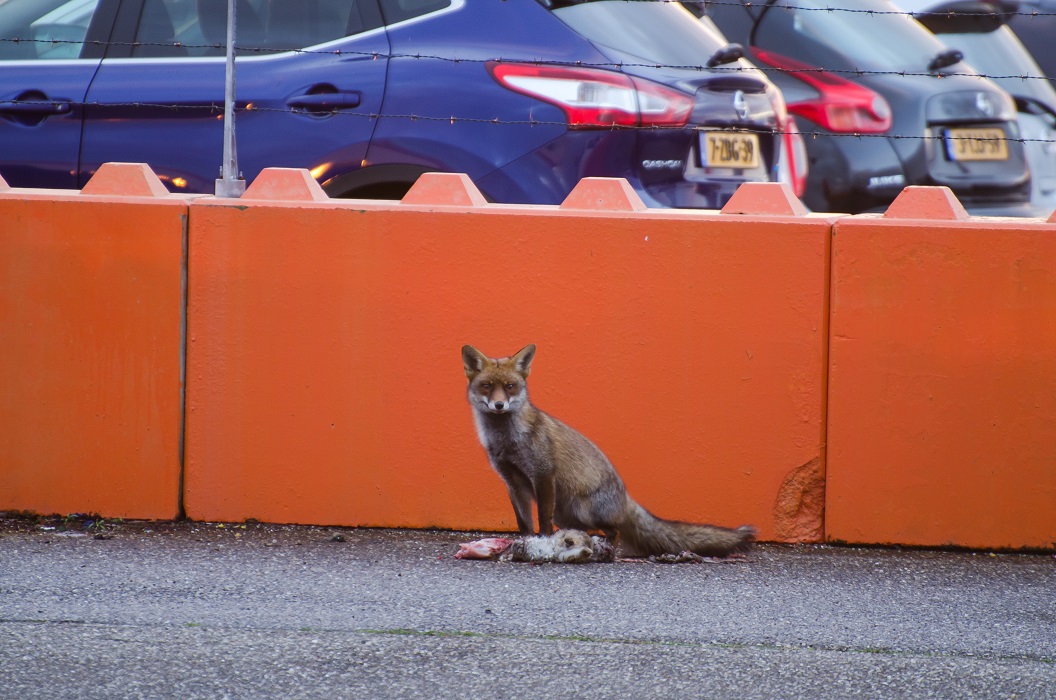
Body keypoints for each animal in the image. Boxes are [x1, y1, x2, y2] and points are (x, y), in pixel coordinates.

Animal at [460, 344, 751, 557]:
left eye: (510, 387)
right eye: (487, 386)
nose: (499, 405)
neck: (507, 442)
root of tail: (625, 496)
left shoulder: (543, 474)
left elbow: (542, 519)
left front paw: (542, 542)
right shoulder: (513, 481)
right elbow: (523, 522)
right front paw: (525, 542)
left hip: (583, 510)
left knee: (615, 531)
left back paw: (605, 546)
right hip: (565, 512)